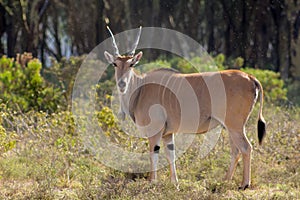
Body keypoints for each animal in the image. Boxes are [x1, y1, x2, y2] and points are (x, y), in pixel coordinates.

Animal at [103, 26, 264, 189]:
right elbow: (171, 155)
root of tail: (250, 78)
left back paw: (244, 184)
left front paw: (152, 183)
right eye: (115, 64)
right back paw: (224, 181)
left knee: (246, 147)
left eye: (131, 64)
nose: (122, 84)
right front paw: (175, 184)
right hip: (230, 127)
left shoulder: (155, 131)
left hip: (234, 126)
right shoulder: (168, 134)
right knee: (235, 150)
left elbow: (153, 155)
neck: (141, 88)